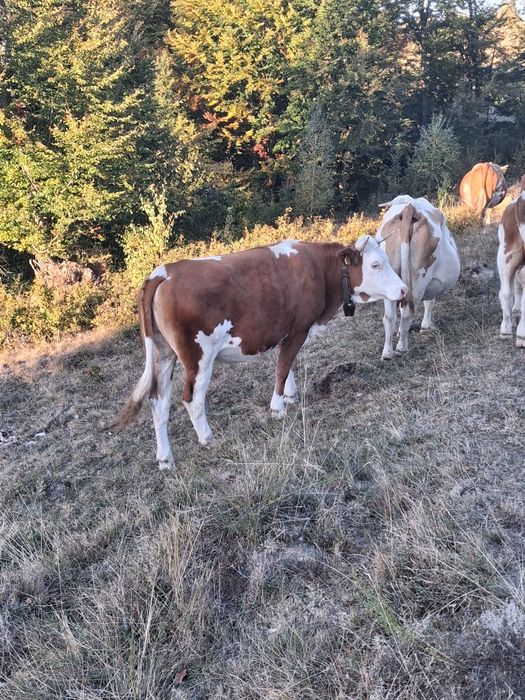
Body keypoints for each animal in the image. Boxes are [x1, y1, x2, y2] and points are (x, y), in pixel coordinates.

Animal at [113, 237, 407, 468]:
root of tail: (163, 272)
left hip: (163, 353)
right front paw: (278, 408)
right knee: (191, 399)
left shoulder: (291, 332)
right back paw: (207, 438)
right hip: (198, 356)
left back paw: (165, 459)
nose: (404, 289)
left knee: (158, 403)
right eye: (375, 265)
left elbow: (289, 364)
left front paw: (289, 396)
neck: (320, 271)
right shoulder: (298, 328)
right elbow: (283, 366)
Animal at [375, 195, 461, 360]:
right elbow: (430, 302)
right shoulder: (432, 283)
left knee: (389, 317)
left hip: (389, 279)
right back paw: (402, 347)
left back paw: (388, 353)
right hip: (420, 278)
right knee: (407, 312)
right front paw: (427, 326)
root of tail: (410, 207)